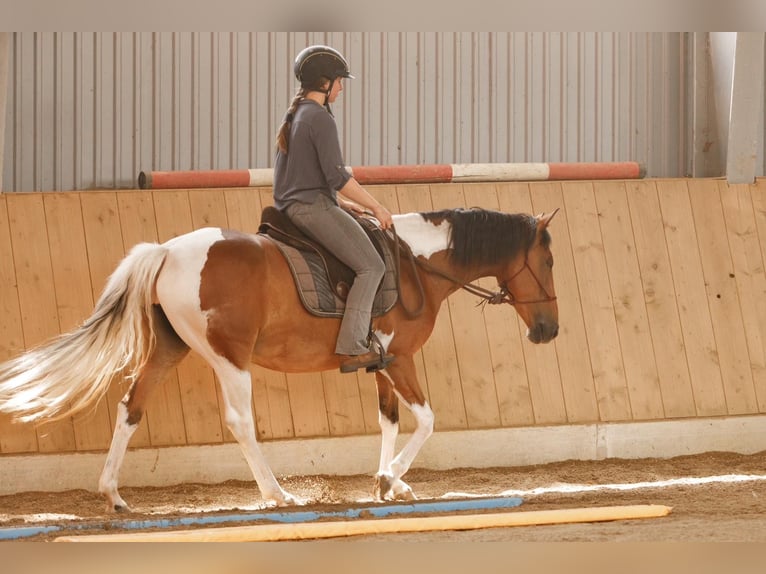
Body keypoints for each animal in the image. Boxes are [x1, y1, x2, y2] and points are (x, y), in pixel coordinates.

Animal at [1, 205, 564, 510]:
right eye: (548, 260)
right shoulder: (399, 358)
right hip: (227, 357)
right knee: (240, 422)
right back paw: (276, 494)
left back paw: (114, 494)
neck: (416, 265)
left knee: (130, 408)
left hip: (168, 350)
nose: (549, 330)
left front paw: (388, 483)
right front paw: (390, 479)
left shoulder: (380, 363)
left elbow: (388, 420)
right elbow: (426, 420)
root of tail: (167, 251)